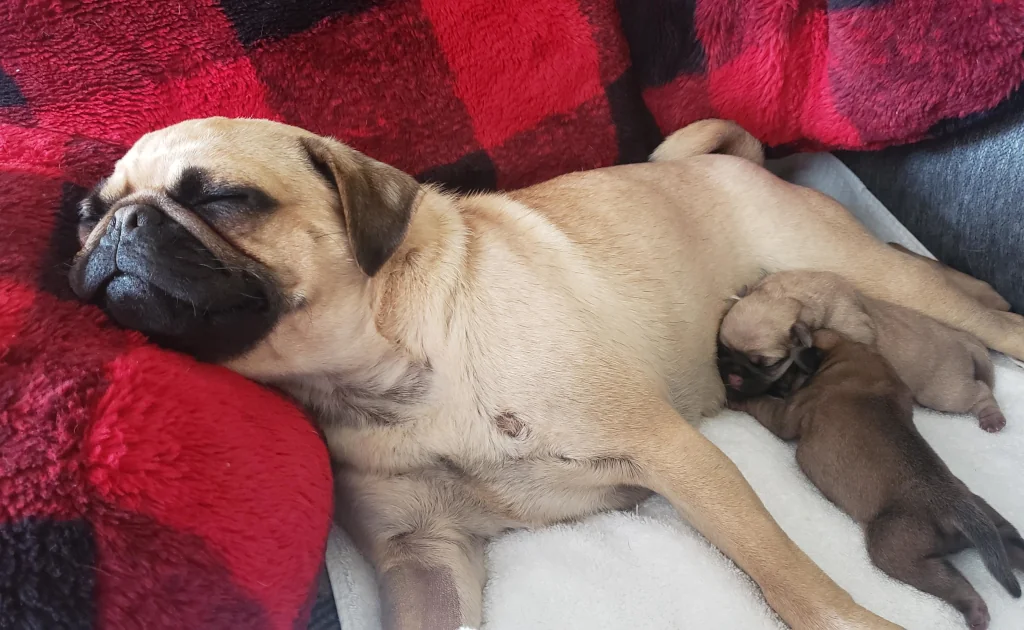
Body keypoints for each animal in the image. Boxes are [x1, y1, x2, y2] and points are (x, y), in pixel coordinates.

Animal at [720, 270, 1007, 434]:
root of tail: (964, 339)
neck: (791, 296)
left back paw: (992, 417)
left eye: (768, 364)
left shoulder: (851, 335)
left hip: (944, 393)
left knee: (980, 392)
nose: (732, 378)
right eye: (723, 349)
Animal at [729, 329, 1024, 630]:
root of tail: (955, 506)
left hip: (894, 547)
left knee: (952, 583)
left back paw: (975, 612)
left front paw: (739, 400)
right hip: (991, 520)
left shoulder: (788, 414)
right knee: (1010, 544)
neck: (852, 358)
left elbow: (766, 408)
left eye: (785, 369)